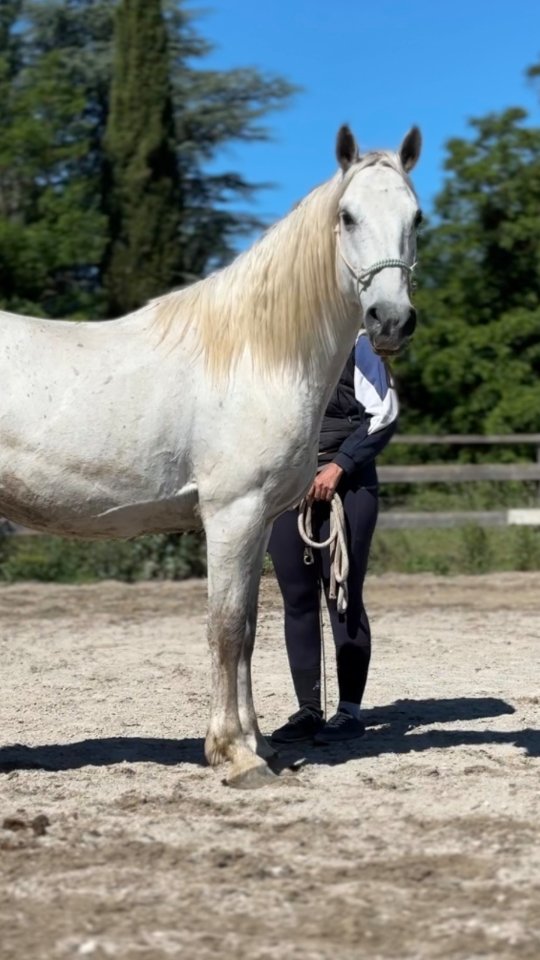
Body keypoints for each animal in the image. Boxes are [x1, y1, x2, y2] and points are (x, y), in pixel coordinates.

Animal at [0, 124, 421, 786]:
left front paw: (258, 744)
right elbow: (225, 629)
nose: (391, 320)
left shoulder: (259, 521)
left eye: (417, 216)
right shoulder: (232, 514)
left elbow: (247, 630)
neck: (257, 353)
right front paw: (235, 755)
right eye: (347, 216)